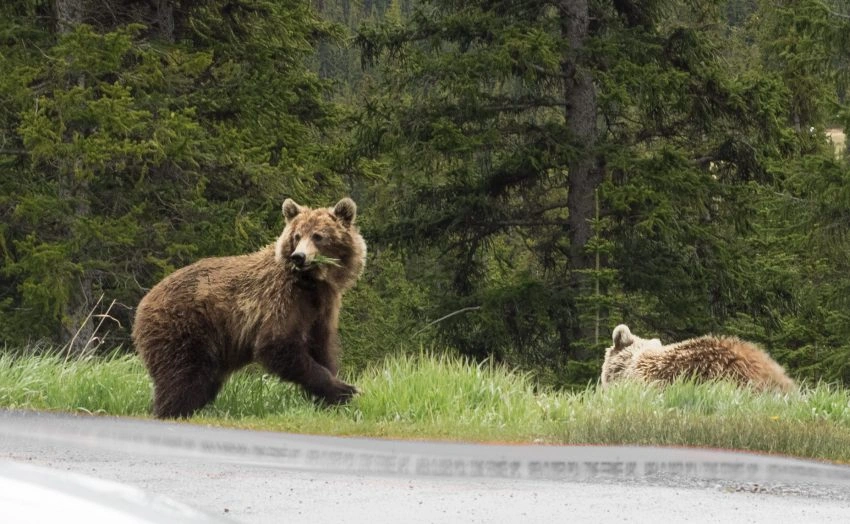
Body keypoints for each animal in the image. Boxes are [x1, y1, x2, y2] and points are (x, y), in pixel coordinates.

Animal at [132, 197, 367, 418]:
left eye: (318, 236)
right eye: (297, 236)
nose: (298, 257)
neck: (312, 283)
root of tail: (144, 302)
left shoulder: (322, 307)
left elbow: (322, 347)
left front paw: (329, 397)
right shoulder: (281, 299)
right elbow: (277, 345)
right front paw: (344, 389)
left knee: (202, 380)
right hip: (184, 326)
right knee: (183, 377)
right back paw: (172, 410)